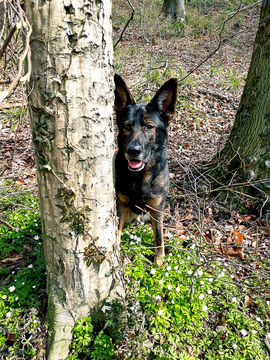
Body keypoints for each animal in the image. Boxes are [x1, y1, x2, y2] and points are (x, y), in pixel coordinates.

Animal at [113, 74, 177, 264]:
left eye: (149, 127)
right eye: (126, 126)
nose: (133, 151)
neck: (140, 176)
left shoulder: (157, 209)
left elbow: (159, 239)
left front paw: (159, 264)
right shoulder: (121, 205)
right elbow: (116, 233)